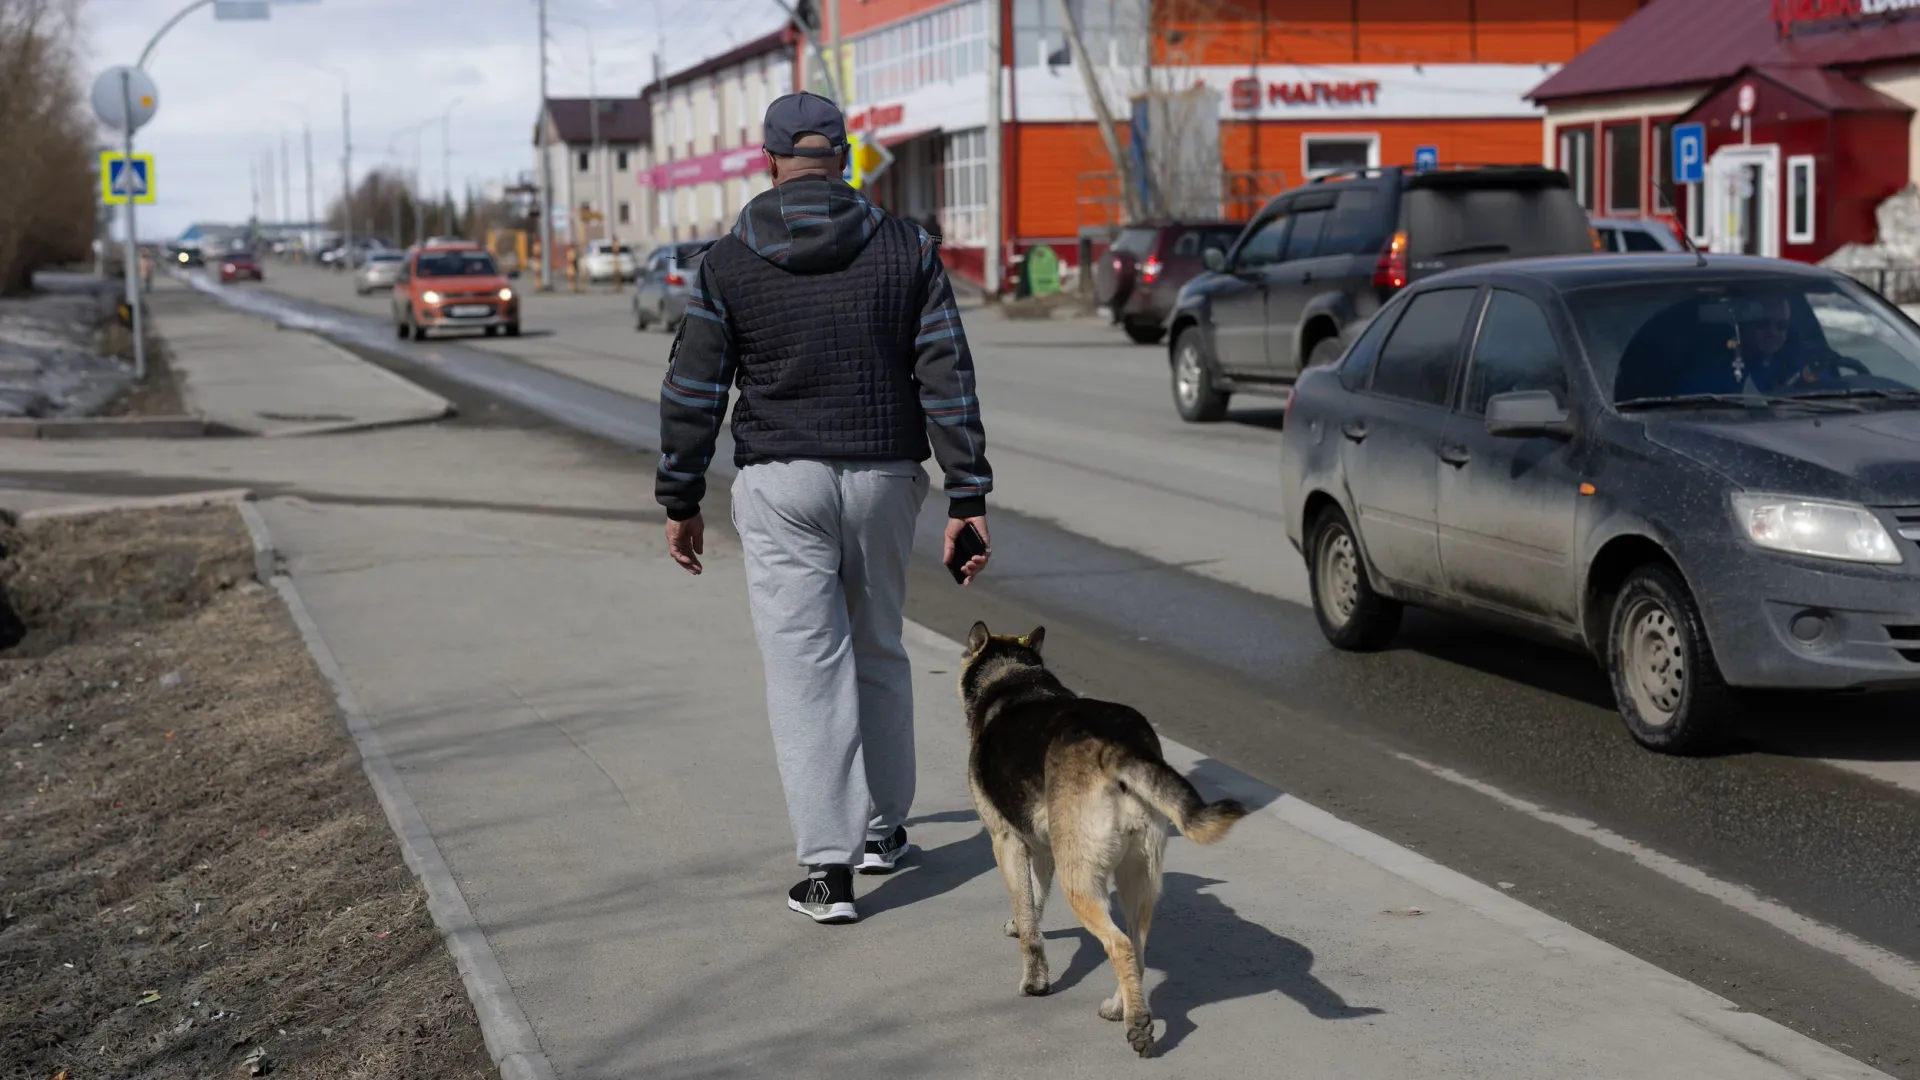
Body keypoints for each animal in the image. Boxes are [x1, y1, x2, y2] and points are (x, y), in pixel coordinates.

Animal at [960, 622, 1259, 1053]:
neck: (1014, 675)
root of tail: (1117, 746)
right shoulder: (1043, 850)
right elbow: (1032, 900)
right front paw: (1020, 922)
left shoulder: (1006, 841)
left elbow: (1029, 921)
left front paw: (1035, 981)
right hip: (1138, 878)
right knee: (1136, 947)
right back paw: (1125, 1008)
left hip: (1081, 883)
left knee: (1118, 944)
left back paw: (1136, 1023)